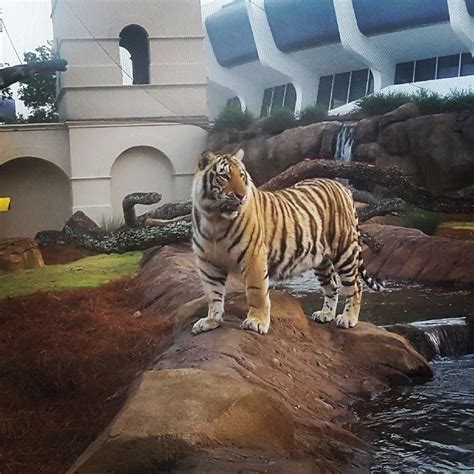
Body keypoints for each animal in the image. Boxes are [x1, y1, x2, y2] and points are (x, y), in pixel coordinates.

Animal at [191, 150, 380, 336]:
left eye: (242, 176)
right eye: (224, 176)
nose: (241, 196)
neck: (215, 220)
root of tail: (343, 188)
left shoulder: (253, 256)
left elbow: (256, 292)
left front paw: (256, 322)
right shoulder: (207, 262)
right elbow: (213, 293)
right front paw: (211, 320)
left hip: (345, 252)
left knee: (356, 286)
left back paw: (348, 318)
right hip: (321, 260)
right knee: (332, 286)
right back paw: (325, 314)